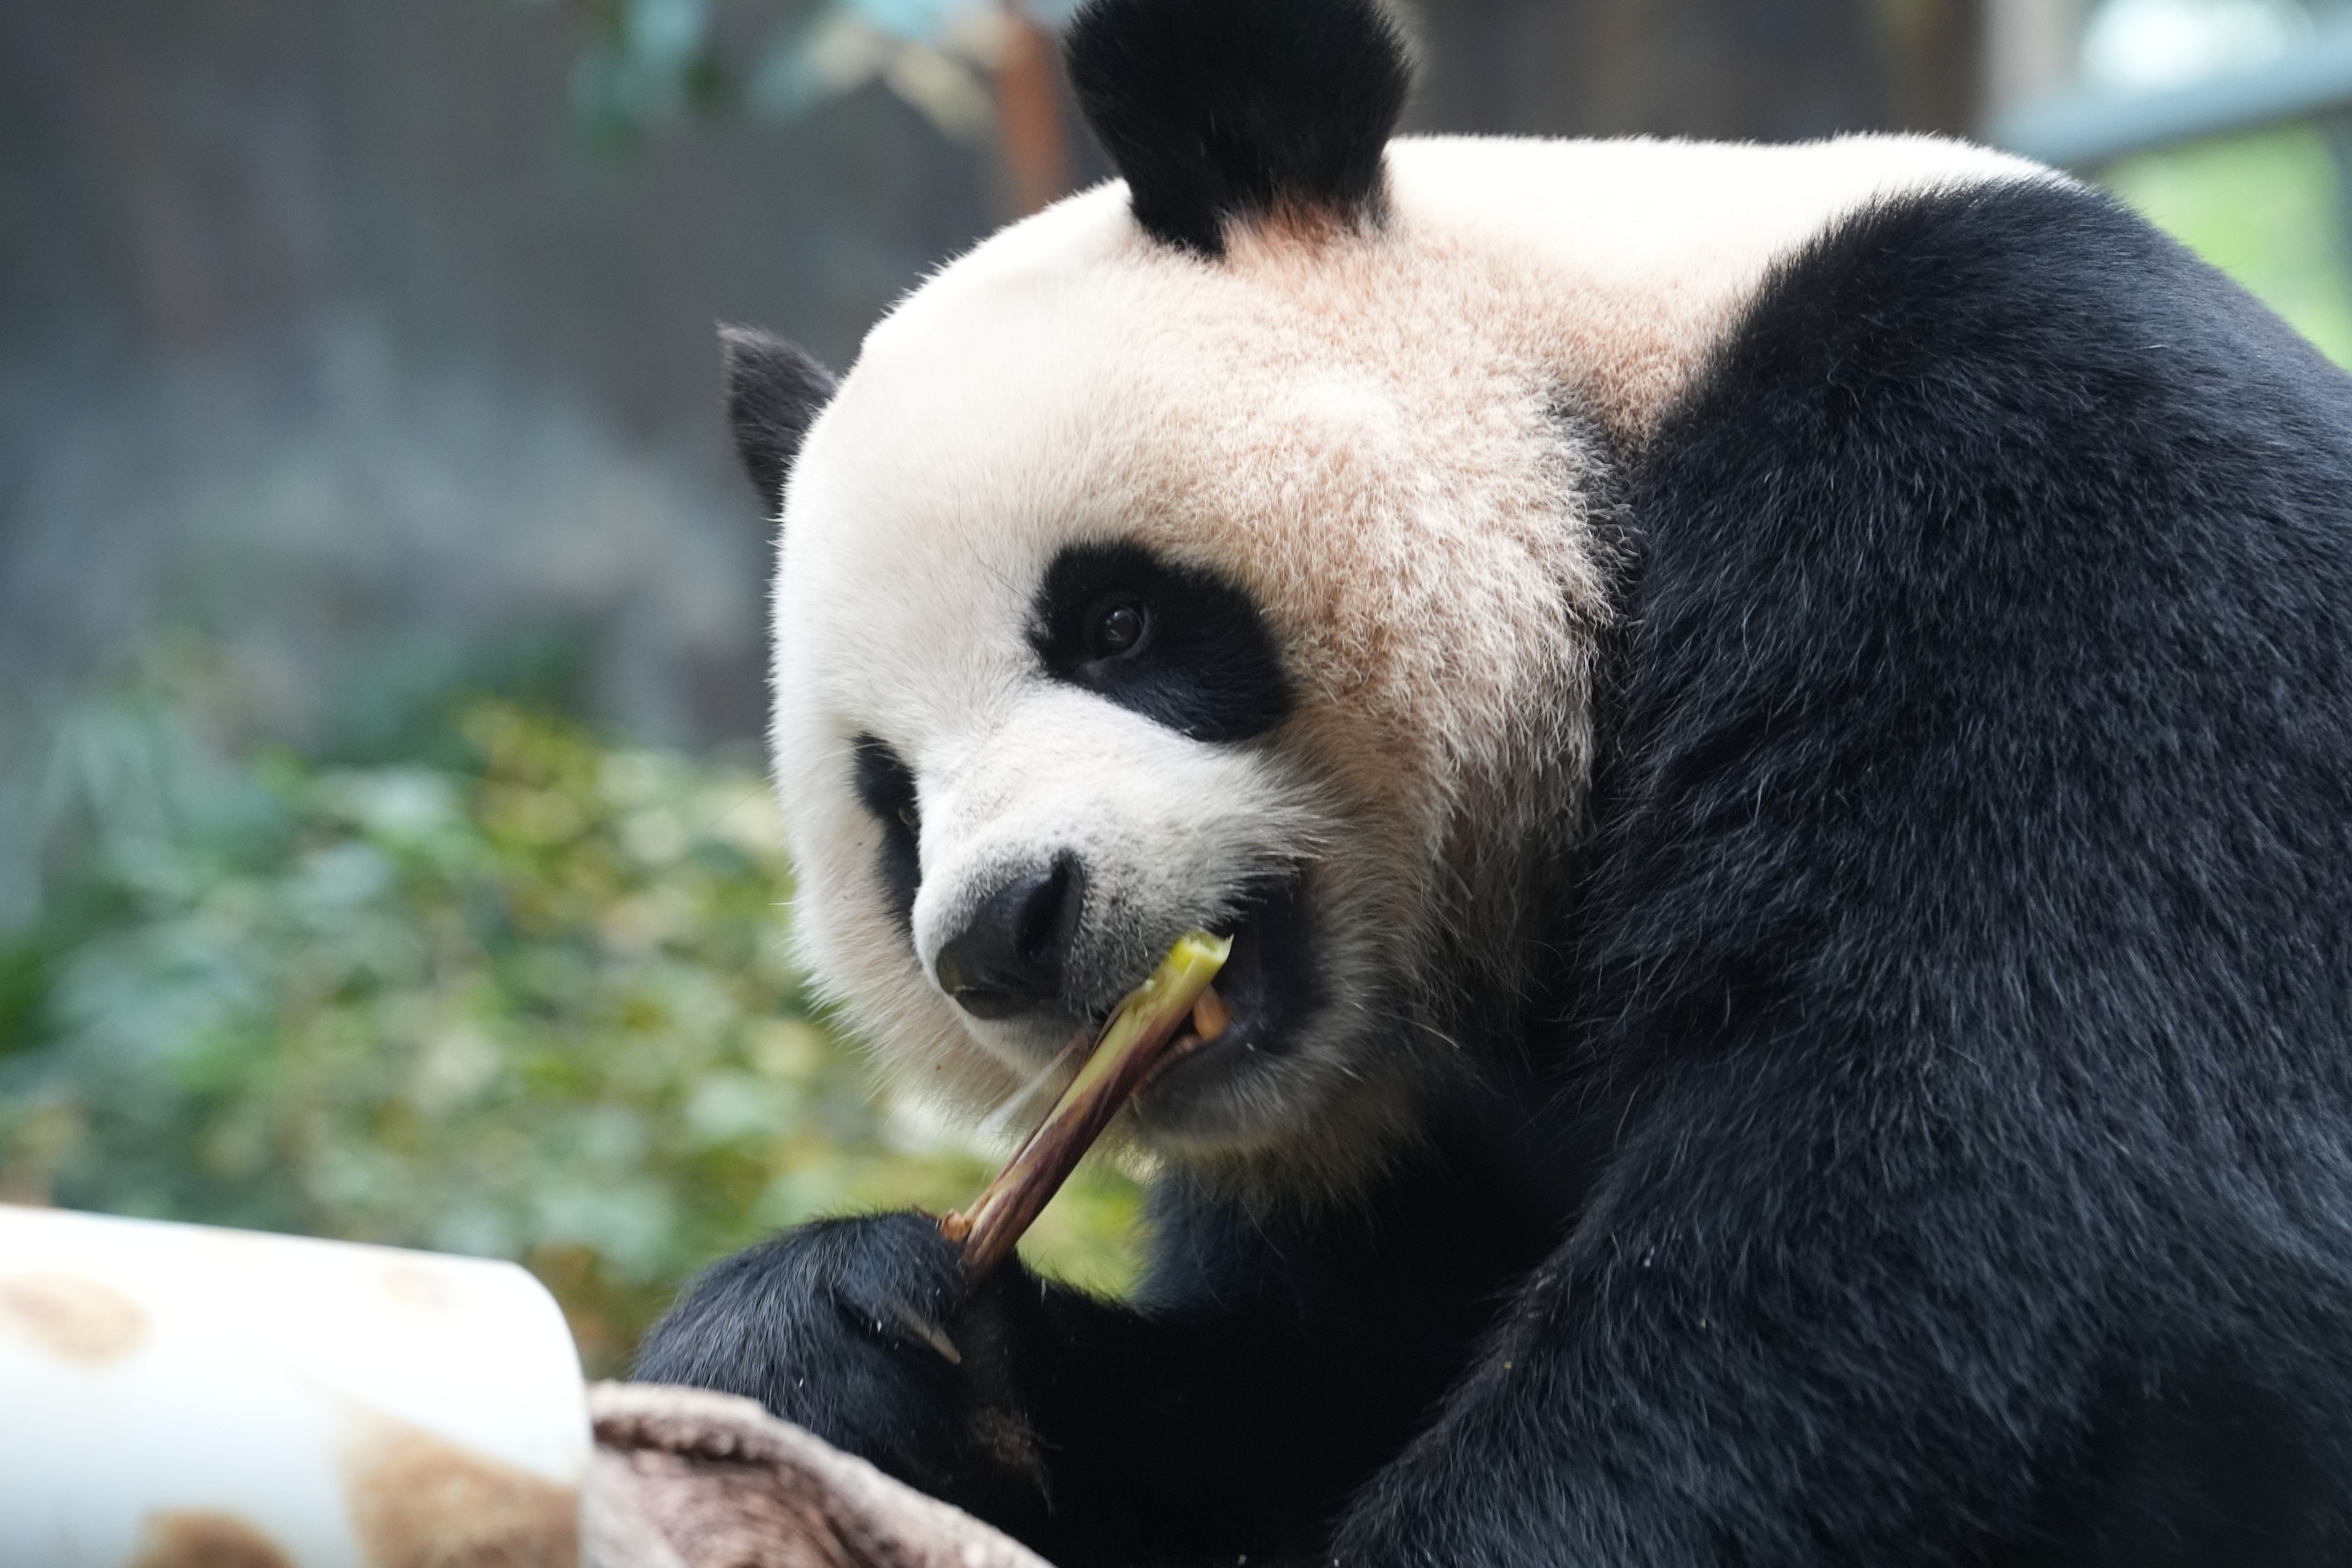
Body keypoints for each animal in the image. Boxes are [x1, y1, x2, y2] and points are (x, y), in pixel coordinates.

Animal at [635, 0, 2351, 1561]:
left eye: (1114, 620)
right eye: (891, 803)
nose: (1004, 932)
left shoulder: (2025, 483)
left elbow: (1983, 1205)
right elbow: (1296, 1392)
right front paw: (826, 1345)